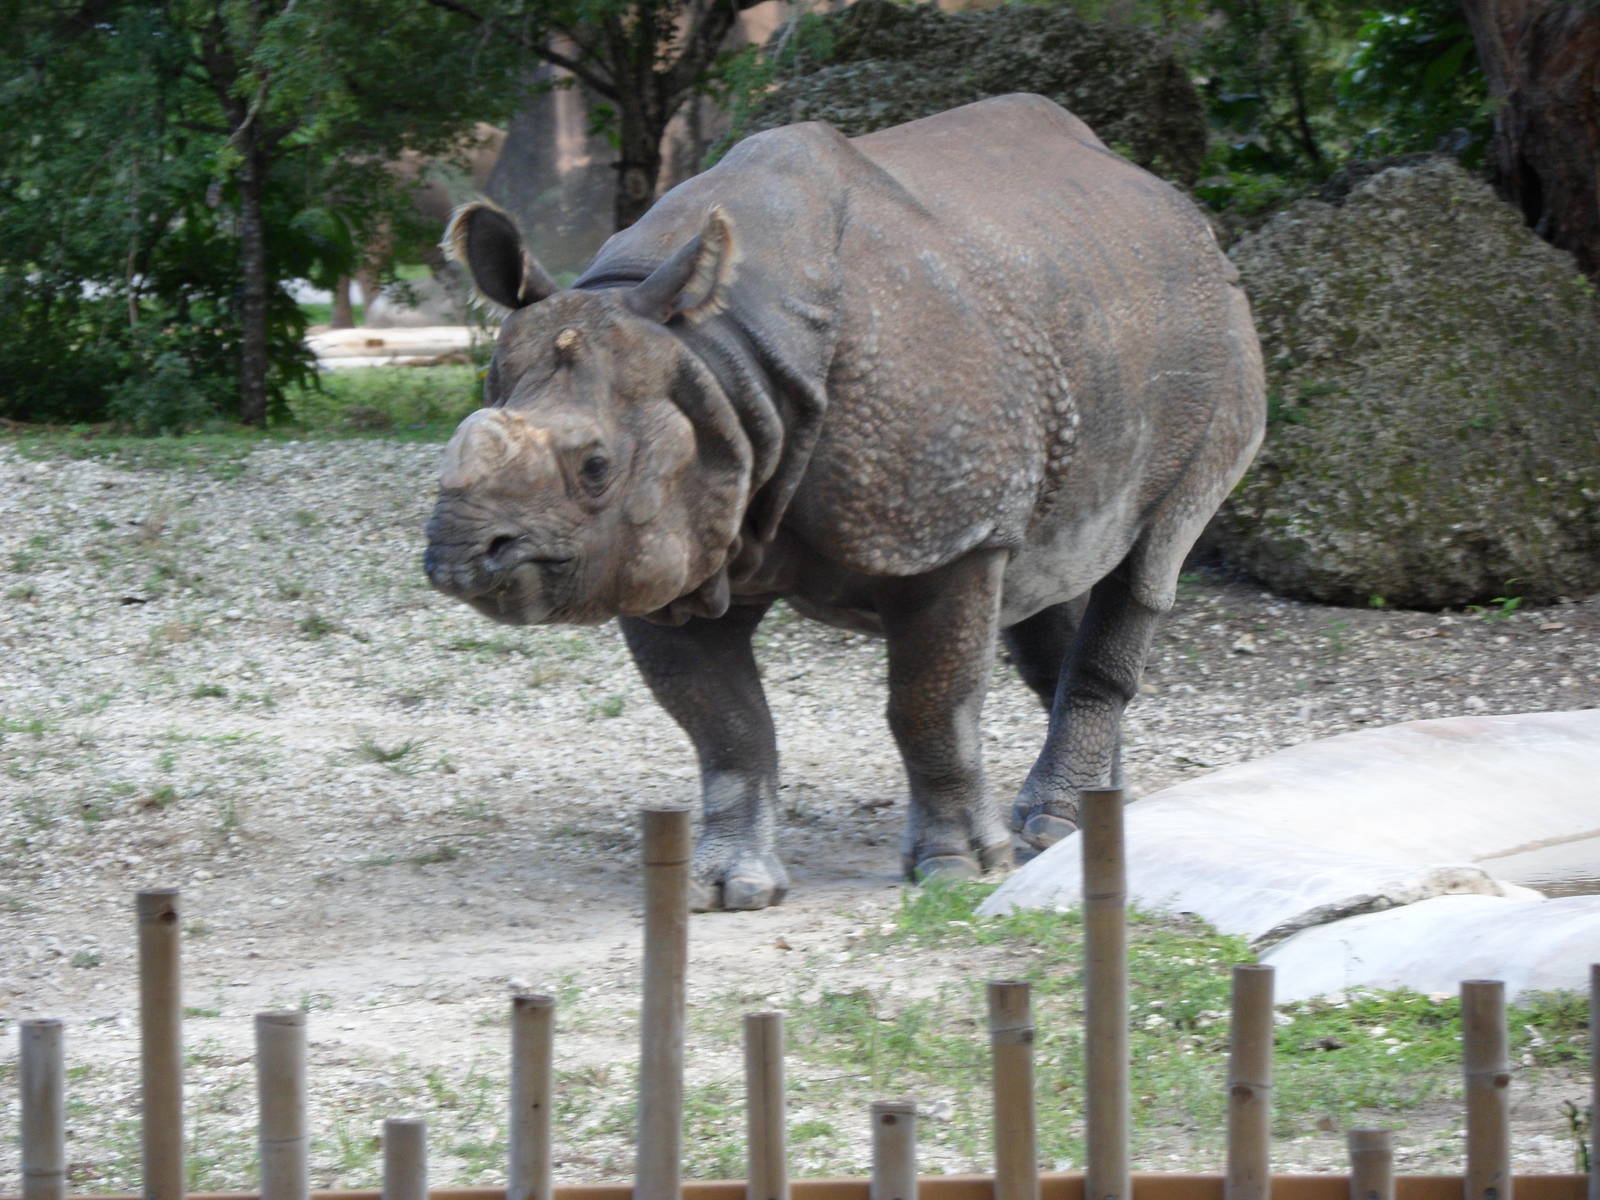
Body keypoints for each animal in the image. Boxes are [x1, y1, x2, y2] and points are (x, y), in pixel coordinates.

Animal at [423, 93, 1265, 911]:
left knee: (1150, 557)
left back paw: (1053, 824)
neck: (715, 364)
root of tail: (1163, 195)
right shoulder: (664, 554)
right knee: (1044, 576)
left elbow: (929, 704)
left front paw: (956, 871)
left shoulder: (948, 535)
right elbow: (725, 725)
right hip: (1091, 312)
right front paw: (727, 886)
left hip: (1224, 331)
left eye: (596, 467)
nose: (461, 558)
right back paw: (1083, 822)